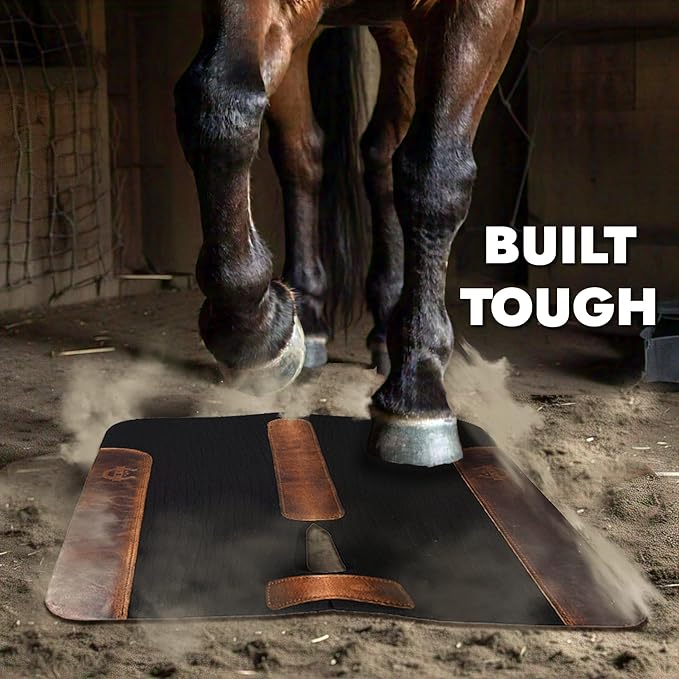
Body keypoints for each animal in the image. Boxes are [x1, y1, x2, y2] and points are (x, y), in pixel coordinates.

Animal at [174, 0, 526, 467]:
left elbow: (436, 174)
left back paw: (387, 327)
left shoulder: (486, 12)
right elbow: (220, 105)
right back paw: (309, 315)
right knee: (304, 154)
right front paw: (259, 334)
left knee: (384, 154)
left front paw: (417, 391)